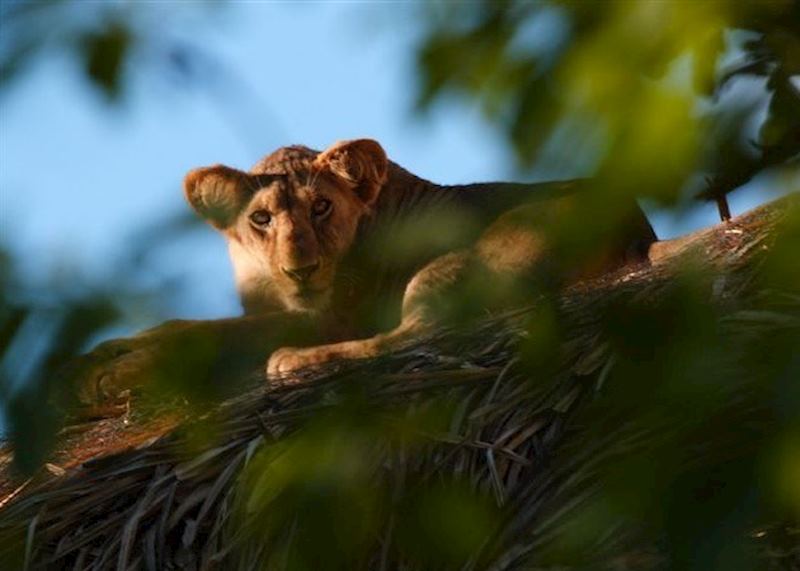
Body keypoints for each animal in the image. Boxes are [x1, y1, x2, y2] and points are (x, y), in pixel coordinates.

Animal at [72, 138, 655, 412]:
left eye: (322, 207)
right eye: (261, 218)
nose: (301, 270)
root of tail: (637, 229)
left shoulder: (325, 318)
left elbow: (216, 339)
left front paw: (114, 373)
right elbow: (189, 326)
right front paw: (100, 357)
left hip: (455, 267)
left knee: (417, 338)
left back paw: (292, 363)